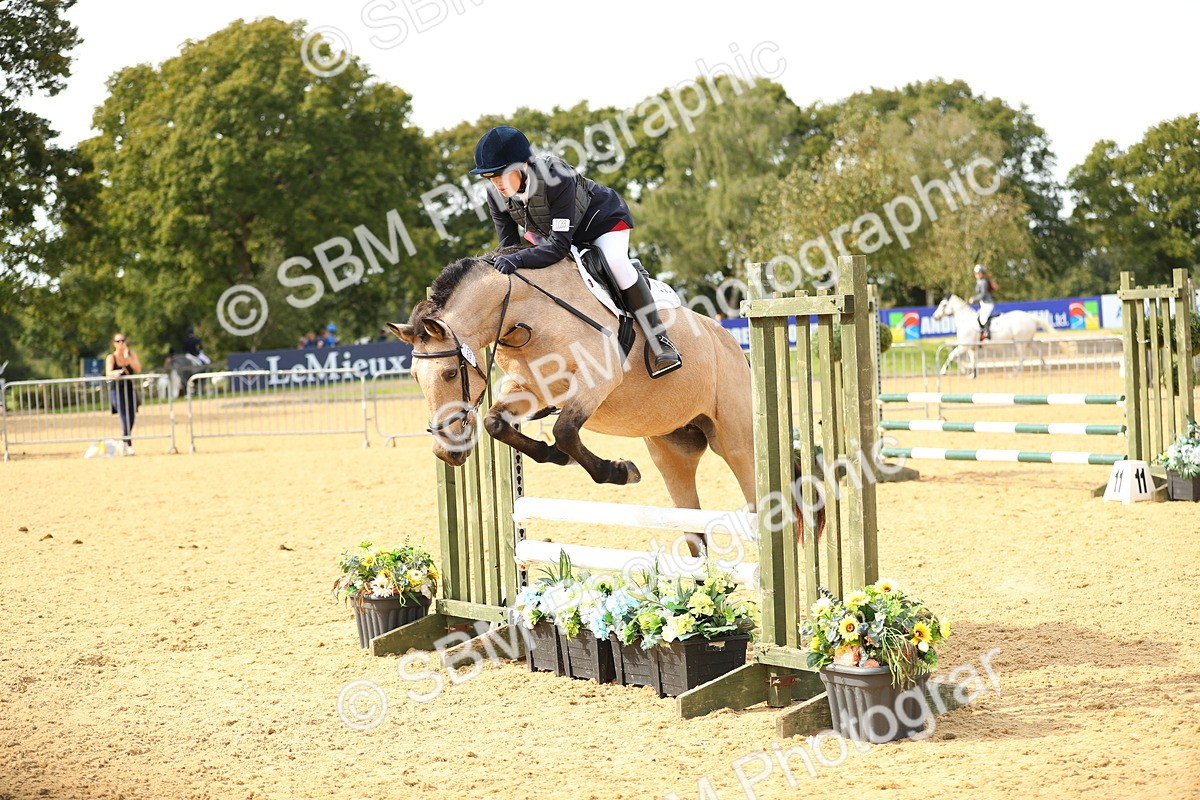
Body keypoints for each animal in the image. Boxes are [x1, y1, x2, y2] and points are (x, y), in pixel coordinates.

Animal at [389, 249, 817, 555]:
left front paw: (619, 470)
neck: (526, 315)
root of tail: (732, 343)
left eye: (449, 374)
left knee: (766, 505)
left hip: (739, 442)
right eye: (413, 377)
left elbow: (565, 430)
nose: (446, 452)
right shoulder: (533, 389)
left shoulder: (596, 381)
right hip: (673, 450)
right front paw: (554, 456)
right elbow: (498, 423)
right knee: (694, 532)